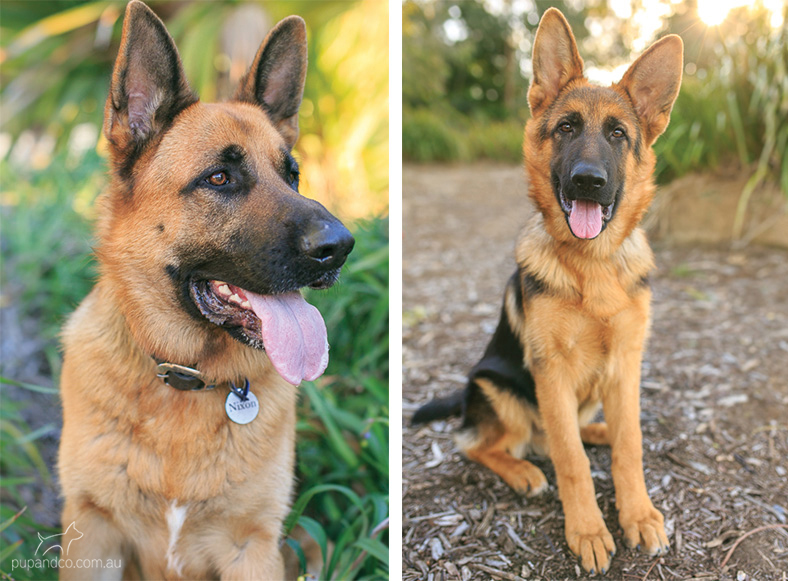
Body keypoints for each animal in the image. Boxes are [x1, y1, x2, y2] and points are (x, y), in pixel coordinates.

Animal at [60, 2, 356, 576]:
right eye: (219, 178)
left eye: (293, 175)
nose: (341, 246)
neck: (184, 377)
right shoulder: (93, 533)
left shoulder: (253, 549)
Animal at [412, 9, 684, 576]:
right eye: (566, 128)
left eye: (618, 134)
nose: (588, 181)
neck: (592, 268)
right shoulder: (551, 370)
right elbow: (571, 461)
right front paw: (588, 530)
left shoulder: (627, 363)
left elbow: (631, 445)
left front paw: (638, 513)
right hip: (497, 386)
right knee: (480, 443)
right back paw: (524, 471)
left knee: (578, 431)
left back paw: (596, 432)